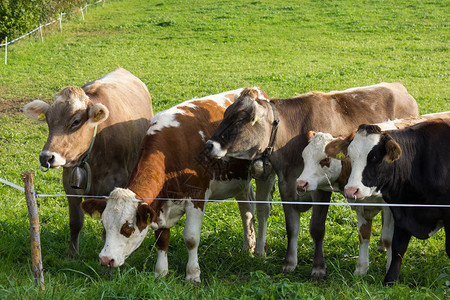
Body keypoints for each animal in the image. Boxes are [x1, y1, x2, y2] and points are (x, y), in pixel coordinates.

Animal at [23, 67, 154, 255]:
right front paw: (71, 254)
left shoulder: (115, 183)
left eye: (76, 121)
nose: (46, 157)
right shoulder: (69, 184)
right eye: (48, 120)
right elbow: (75, 221)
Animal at [81, 89, 270, 284]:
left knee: (262, 209)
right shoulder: (159, 205)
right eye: (104, 224)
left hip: (263, 174)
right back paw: (248, 246)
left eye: (128, 227)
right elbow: (162, 239)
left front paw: (193, 275)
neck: (169, 153)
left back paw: (259, 250)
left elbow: (191, 238)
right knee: (246, 209)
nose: (105, 260)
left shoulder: (197, 196)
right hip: (240, 182)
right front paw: (161, 272)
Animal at [204, 82, 418, 278]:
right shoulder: (287, 185)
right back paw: (382, 245)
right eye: (225, 114)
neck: (292, 137)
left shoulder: (321, 188)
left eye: (241, 119)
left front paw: (318, 267)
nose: (209, 145)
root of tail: (398, 86)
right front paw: (289, 263)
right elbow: (292, 227)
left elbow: (316, 228)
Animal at [342, 117, 450, 284]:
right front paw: (390, 280)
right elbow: (398, 247)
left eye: (374, 157)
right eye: (350, 155)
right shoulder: (401, 213)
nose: (351, 190)